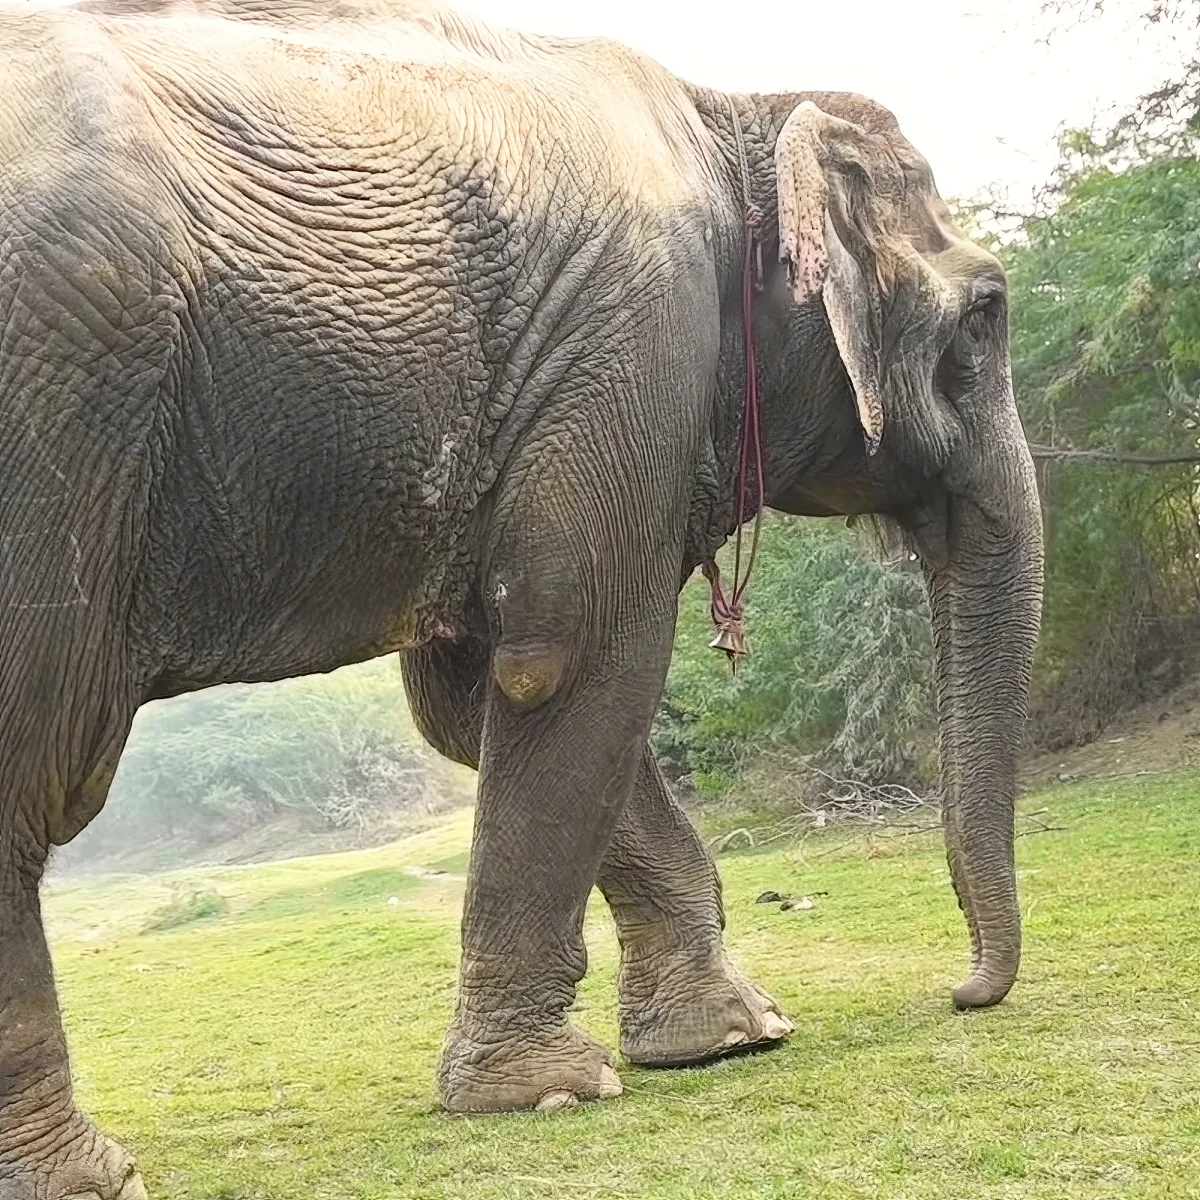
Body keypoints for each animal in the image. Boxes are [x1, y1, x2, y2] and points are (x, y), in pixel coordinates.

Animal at [0, 0, 1043, 1194]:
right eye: (985, 317)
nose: (963, 993)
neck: (731, 111)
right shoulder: (633, 343)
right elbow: (577, 654)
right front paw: (549, 1091)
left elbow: (474, 699)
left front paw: (734, 1037)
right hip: (64, 389)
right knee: (37, 754)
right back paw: (88, 1174)